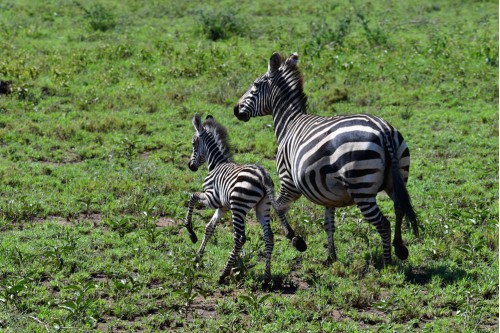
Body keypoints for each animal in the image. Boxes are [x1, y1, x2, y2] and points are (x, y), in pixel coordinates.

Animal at [186, 113, 306, 282]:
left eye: (193, 143)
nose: (191, 166)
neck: (216, 164)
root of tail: (263, 177)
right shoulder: (222, 207)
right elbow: (209, 227)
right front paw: (198, 257)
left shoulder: (212, 198)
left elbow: (192, 197)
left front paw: (191, 233)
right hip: (263, 207)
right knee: (269, 237)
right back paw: (266, 278)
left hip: (238, 206)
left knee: (240, 238)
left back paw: (223, 274)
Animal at [233, 52, 418, 264]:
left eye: (255, 85)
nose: (235, 109)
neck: (289, 123)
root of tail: (383, 130)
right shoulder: (329, 194)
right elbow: (329, 224)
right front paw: (331, 257)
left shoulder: (288, 181)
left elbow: (277, 207)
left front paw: (296, 240)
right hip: (397, 178)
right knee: (399, 208)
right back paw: (400, 248)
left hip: (361, 187)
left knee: (383, 224)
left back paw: (387, 263)